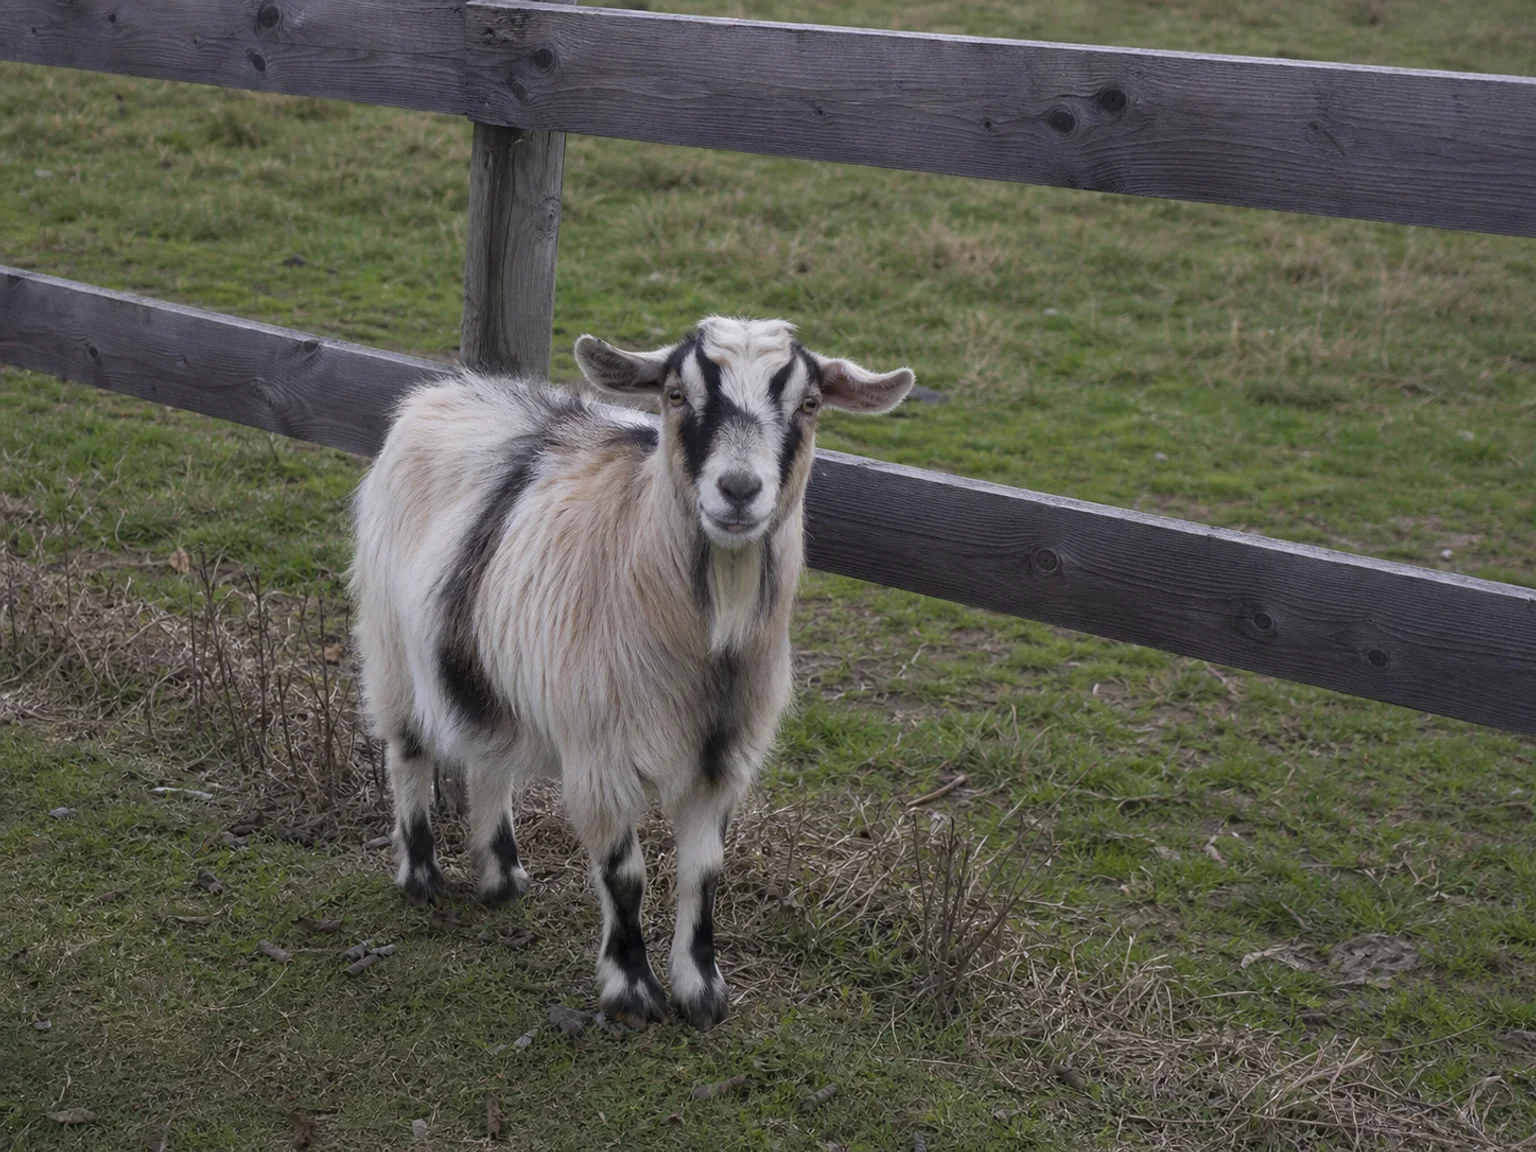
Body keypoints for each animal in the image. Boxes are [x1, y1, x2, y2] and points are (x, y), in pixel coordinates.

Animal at [350, 317, 913, 1028]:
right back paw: (421, 876)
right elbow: (625, 873)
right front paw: (632, 991)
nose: (738, 491)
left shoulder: (723, 757)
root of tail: (441, 392)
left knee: (489, 761)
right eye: (675, 394)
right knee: (408, 750)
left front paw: (703, 991)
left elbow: (706, 871)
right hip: (390, 642)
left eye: (809, 404)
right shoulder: (601, 755)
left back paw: (503, 879)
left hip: (492, 664)